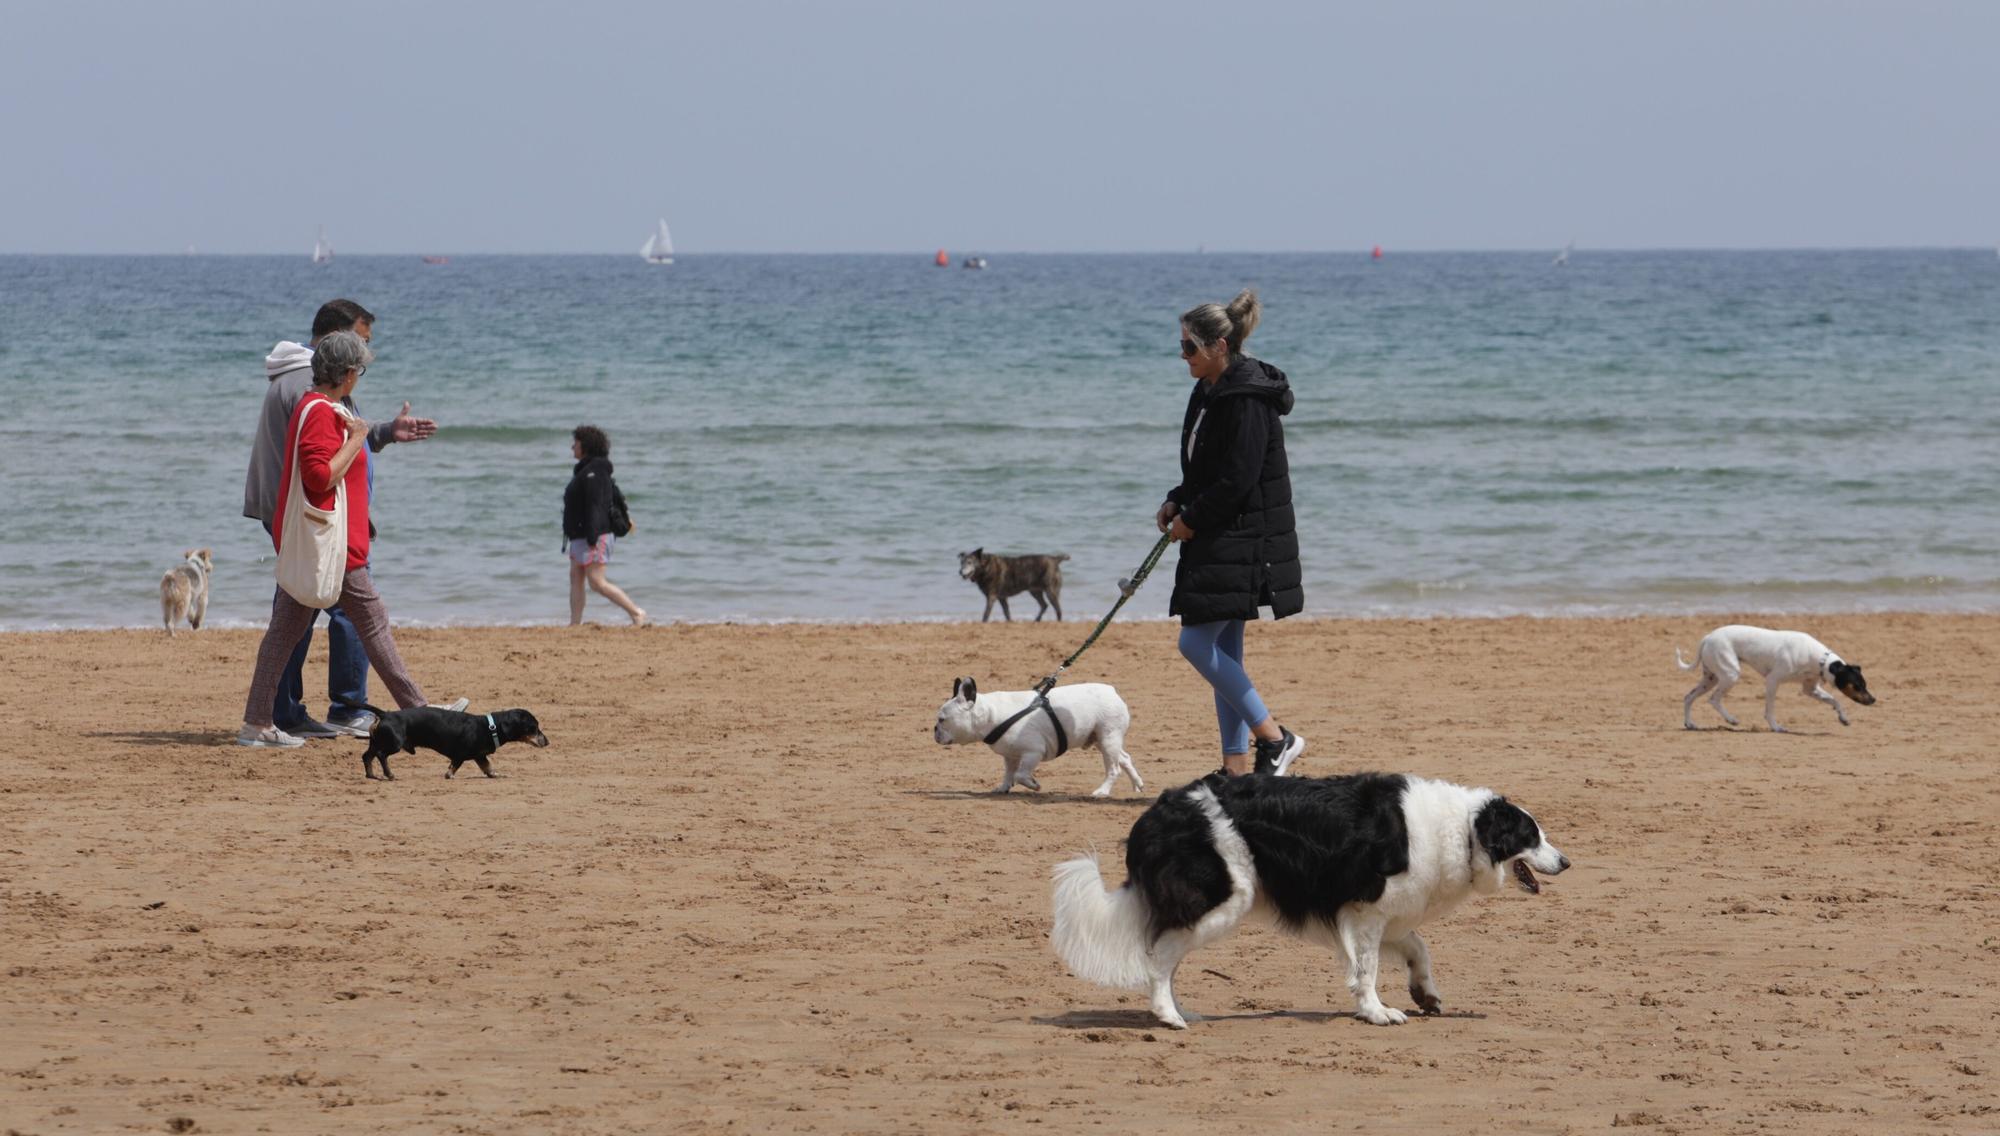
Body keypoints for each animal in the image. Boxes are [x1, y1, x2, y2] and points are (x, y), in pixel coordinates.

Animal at [932, 676, 1144, 800]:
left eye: (942, 720)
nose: (934, 730)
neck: (991, 714)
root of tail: (1111, 691)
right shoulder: (1010, 755)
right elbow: (1009, 772)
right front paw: (1003, 787)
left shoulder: (1033, 752)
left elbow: (1020, 774)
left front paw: (1034, 785)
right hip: (1102, 739)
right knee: (1124, 758)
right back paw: (1137, 784)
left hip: (1108, 738)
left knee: (1114, 768)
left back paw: (1103, 791)